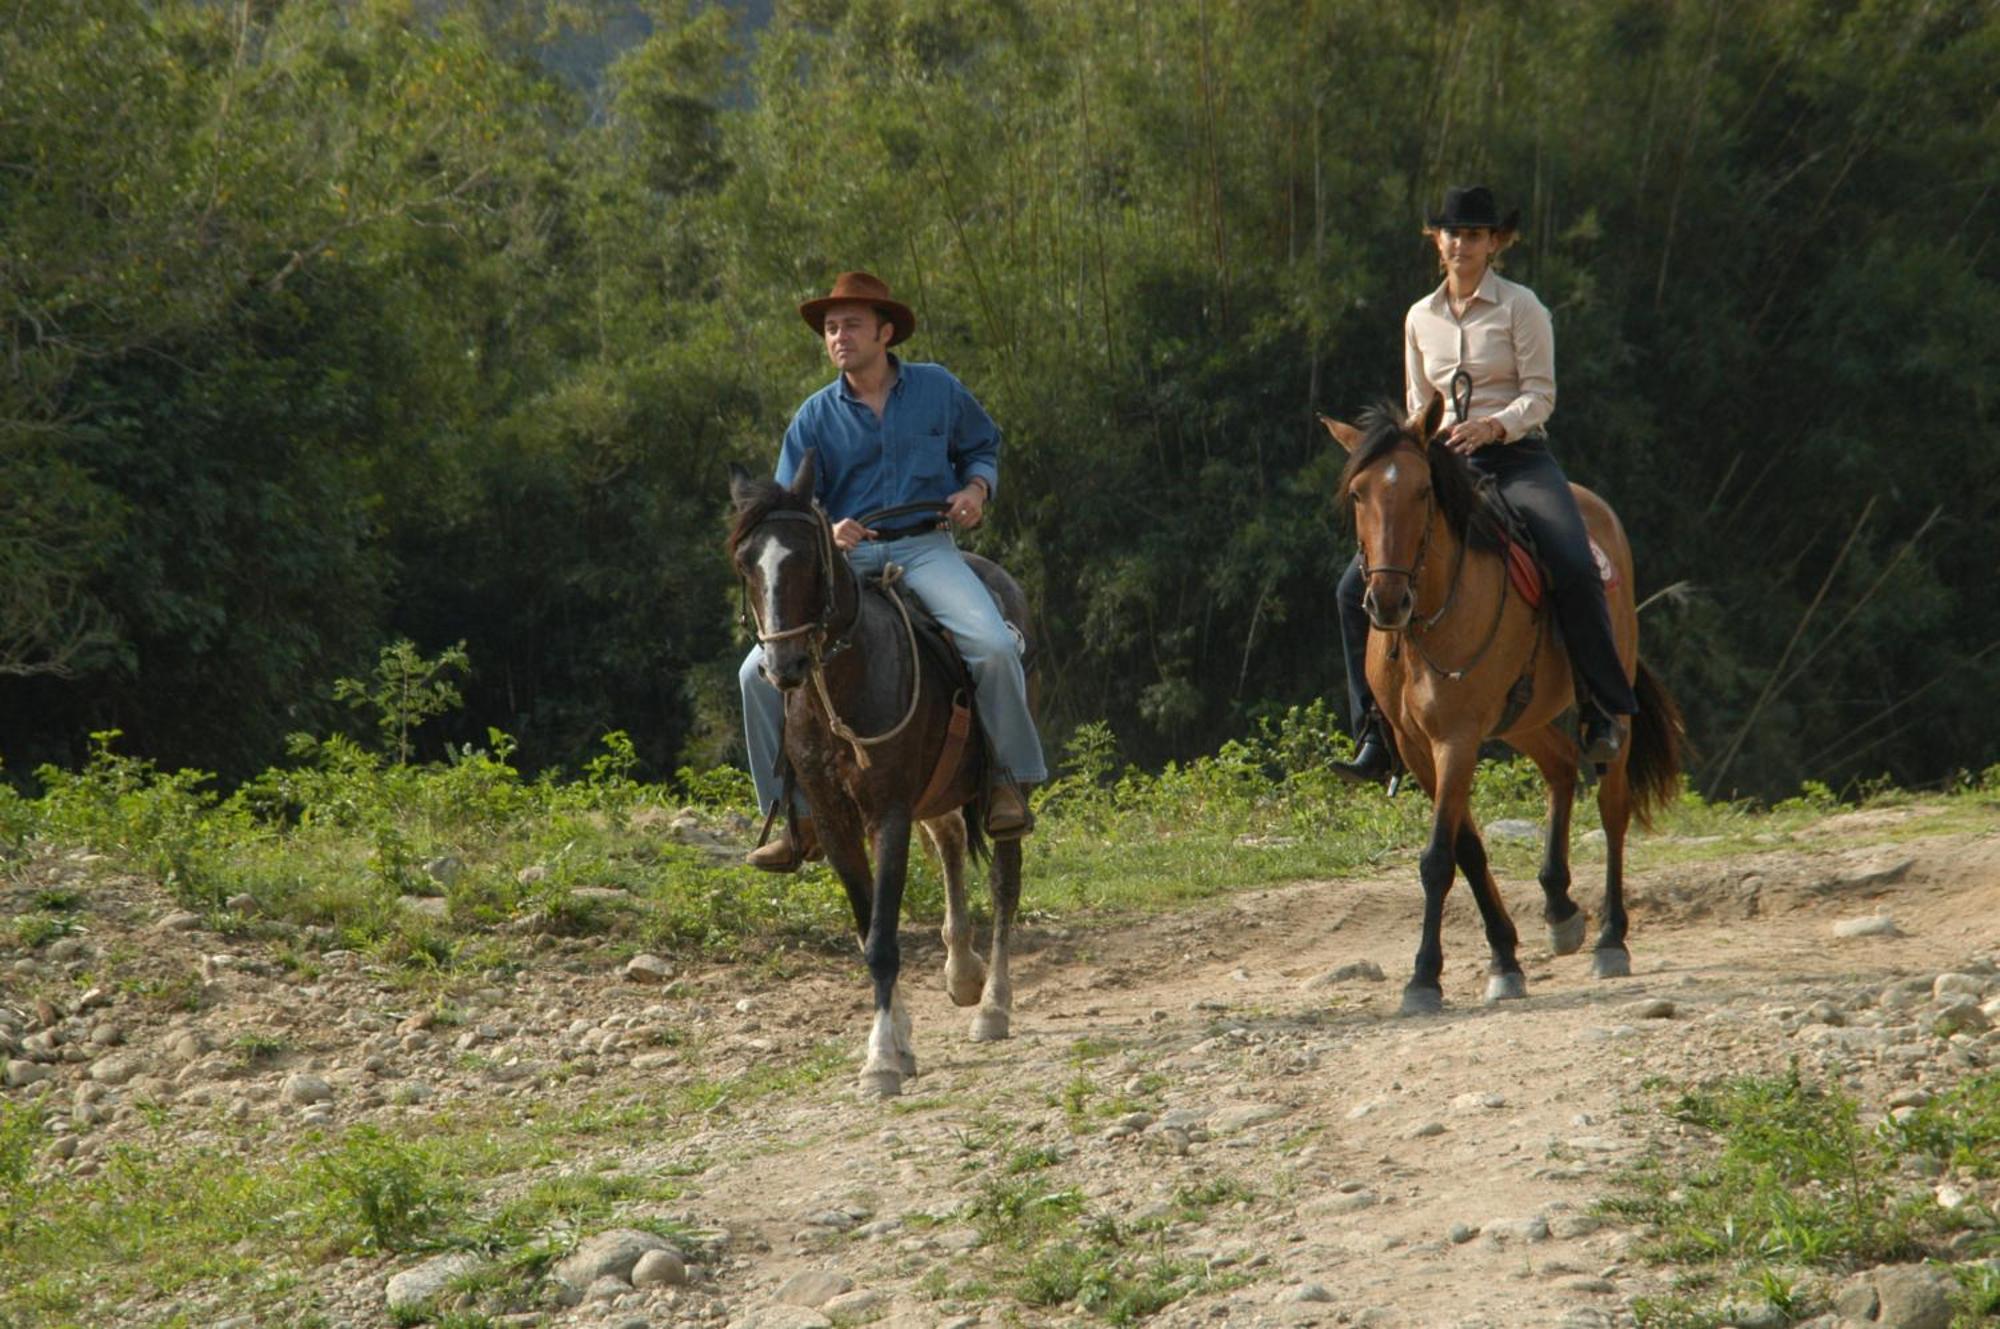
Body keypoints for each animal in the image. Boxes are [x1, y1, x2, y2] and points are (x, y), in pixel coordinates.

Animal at [728, 452, 1032, 1096]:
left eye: (809, 557)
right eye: (746, 562)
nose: (783, 665)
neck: (843, 685)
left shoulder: (887, 814)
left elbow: (883, 941)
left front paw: (881, 1063)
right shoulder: (836, 820)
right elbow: (868, 926)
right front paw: (897, 1042)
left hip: (1005, 784)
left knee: (1005, 878)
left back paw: (993, 1004)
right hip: (935, 792)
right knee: (948, 840)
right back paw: (961, 971)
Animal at [1328, 394, 1688, 1016]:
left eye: (1422, 491)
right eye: (1358, 493)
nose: (1387, 601)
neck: (1427, 620)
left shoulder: (1457, 739)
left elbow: (1437, 858)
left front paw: (1423, 979)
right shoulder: (1418, 746)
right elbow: (1467, 851)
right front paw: (1503, 959)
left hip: (1610, 703)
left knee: (1612, 807)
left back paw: (1610, 940)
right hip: (1523, 718)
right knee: (1561, 767)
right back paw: (1560, 909)